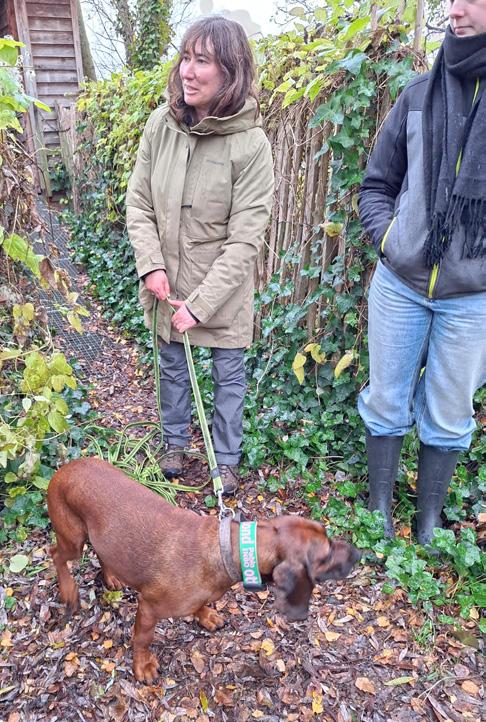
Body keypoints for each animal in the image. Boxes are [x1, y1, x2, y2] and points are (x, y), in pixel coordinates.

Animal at [47, 457, 360, 683]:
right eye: (325, 556)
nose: (358, 554)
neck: (226, 549)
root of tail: (65, 468)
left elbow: (200, 606)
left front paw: (205, 616)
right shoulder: (148, 608)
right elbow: (142, 640)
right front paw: (142, 666)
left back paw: (111, 576)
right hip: (73, 539)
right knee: (56, 555)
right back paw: (69, 591)